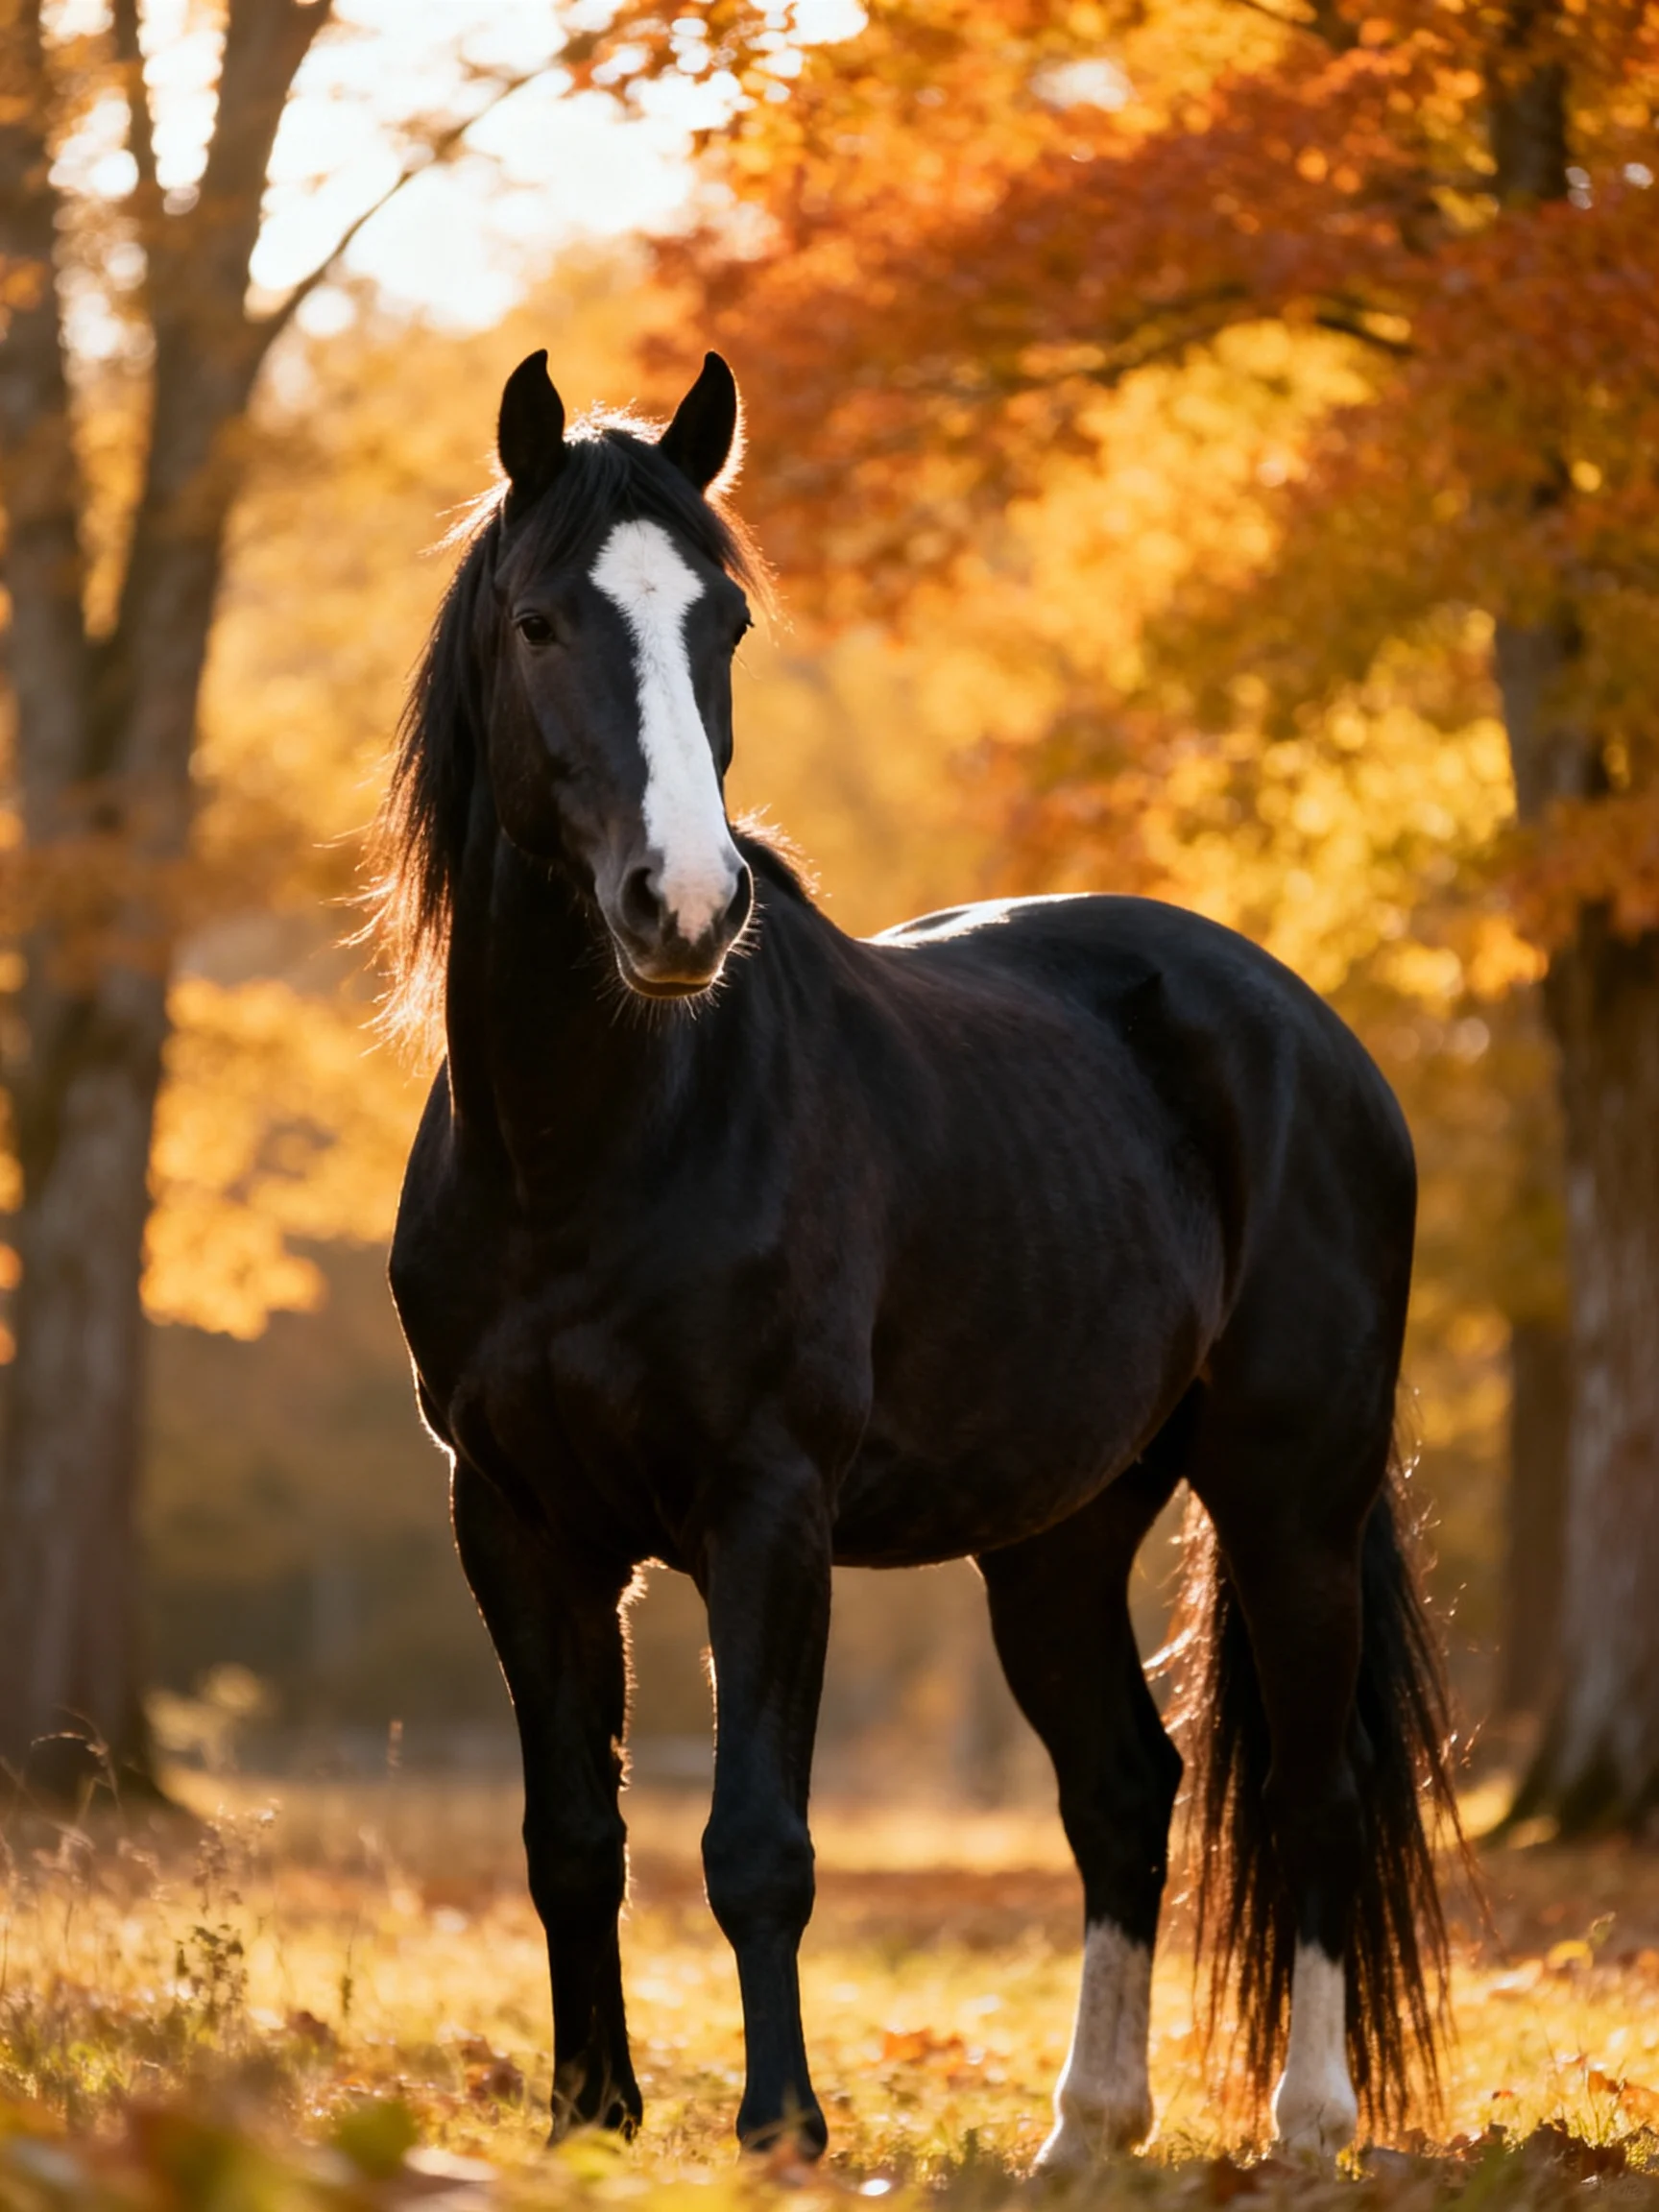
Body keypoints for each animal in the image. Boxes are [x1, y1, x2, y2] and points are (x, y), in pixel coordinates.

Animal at [380, 347, 1459, 2166]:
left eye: (725, 620)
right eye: (538, 620)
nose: (683, 908)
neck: (583, 1147)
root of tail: (1303, 1029)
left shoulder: (767, 1508)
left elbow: (757, 1843)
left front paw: (781, 2132)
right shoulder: (513, 1521)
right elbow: (570, 1835)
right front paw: (593, 2120)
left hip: (1289, 1489)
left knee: (1313, 1782)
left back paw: (1309, 2125)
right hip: (1056, 1534)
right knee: (1124, 1785)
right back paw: (1086, 2131)